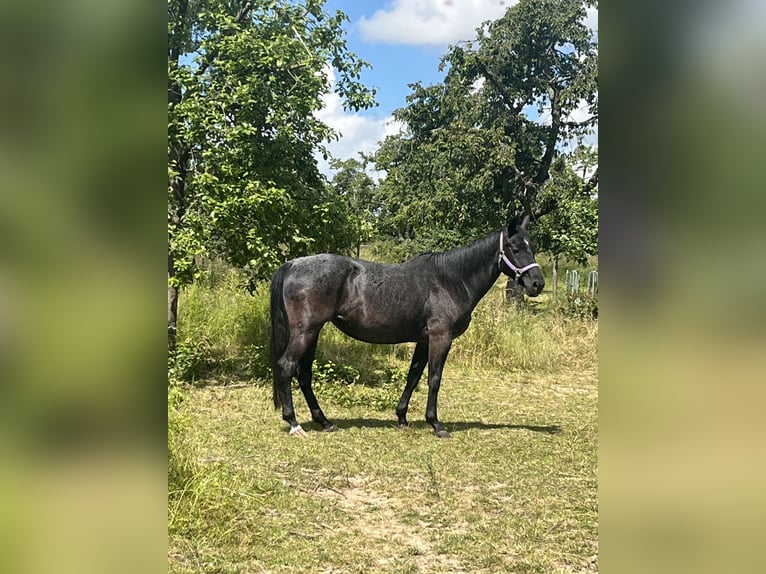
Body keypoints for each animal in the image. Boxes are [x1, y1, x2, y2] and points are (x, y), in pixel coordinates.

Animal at [272, 218, 544, 438]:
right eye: (516, 248)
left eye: (533, 247)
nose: (537, 284)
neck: (450, 279)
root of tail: (293, 264)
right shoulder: (440, 338)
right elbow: (434, 378)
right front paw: (436, 425)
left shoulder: (423, 341)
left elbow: (413, 377)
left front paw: (402, 418)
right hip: (306, 332)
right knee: (287, 366)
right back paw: (294, 423)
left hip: (313, 332)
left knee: (304, 373)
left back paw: (325, 422)